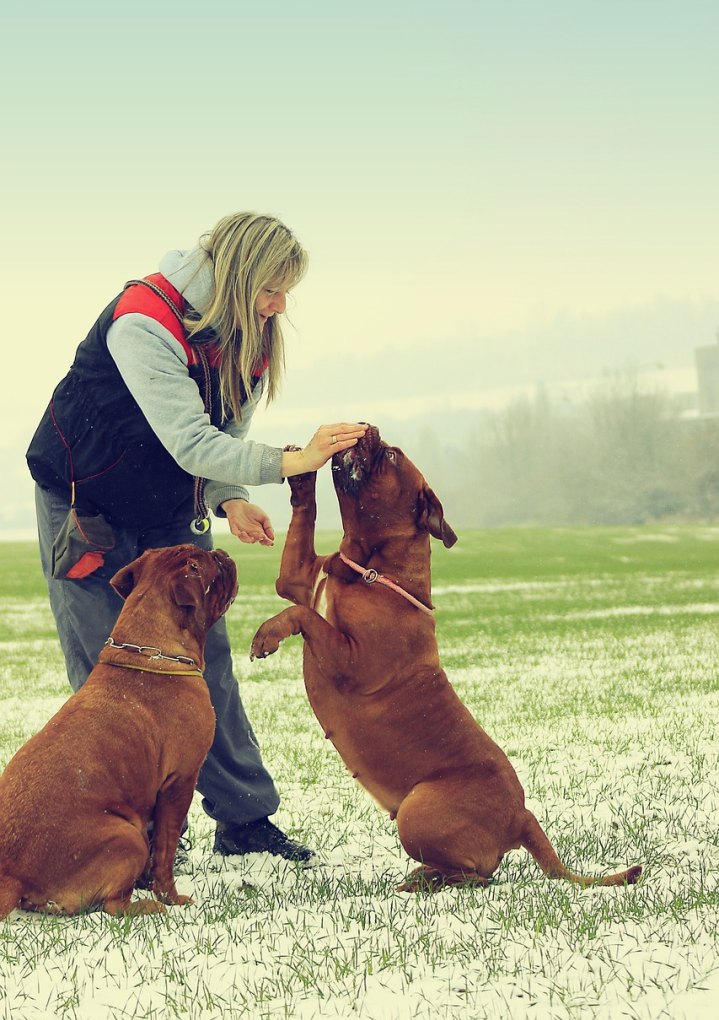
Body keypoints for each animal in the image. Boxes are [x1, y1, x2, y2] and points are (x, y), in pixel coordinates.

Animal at [0, 546, 236, 922]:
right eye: (210, 563)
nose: (221, 552)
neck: (151, 651)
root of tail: (12, 873)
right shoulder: (180, 782)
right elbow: (165, 852)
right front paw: (172, 897)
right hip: (127, 836)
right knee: (113, 906)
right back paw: (148, 905)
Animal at [249, 426, 640, 889]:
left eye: (392, 456)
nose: (367, 427)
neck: (371, 568)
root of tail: (522, 816)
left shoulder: (350, 661)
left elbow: (304, 615)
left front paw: (267, 634)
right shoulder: (297, 578)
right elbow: (303, 527)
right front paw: (301, 475)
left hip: (417, 811)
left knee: (477, 877)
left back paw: (422, 881)